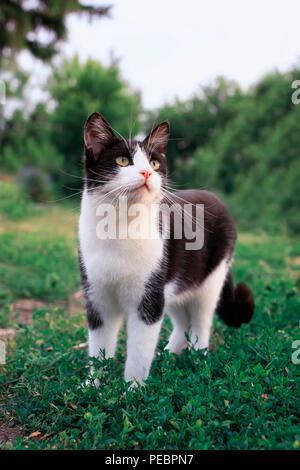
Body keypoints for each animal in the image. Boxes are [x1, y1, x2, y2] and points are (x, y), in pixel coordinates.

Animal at [78, 112, 254, 388]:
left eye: (154, 163)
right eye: (122, 160)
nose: (146, 173)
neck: (120, 228)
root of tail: (216, 199)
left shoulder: (149, 298)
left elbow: (139, 351)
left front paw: (133, 389)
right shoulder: (97, 297)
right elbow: (99, 346)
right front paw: (93, 385)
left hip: (210, 278)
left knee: (201, 321)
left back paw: (197, 358)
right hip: (176, 279)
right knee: (182, 320)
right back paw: (169, 354)